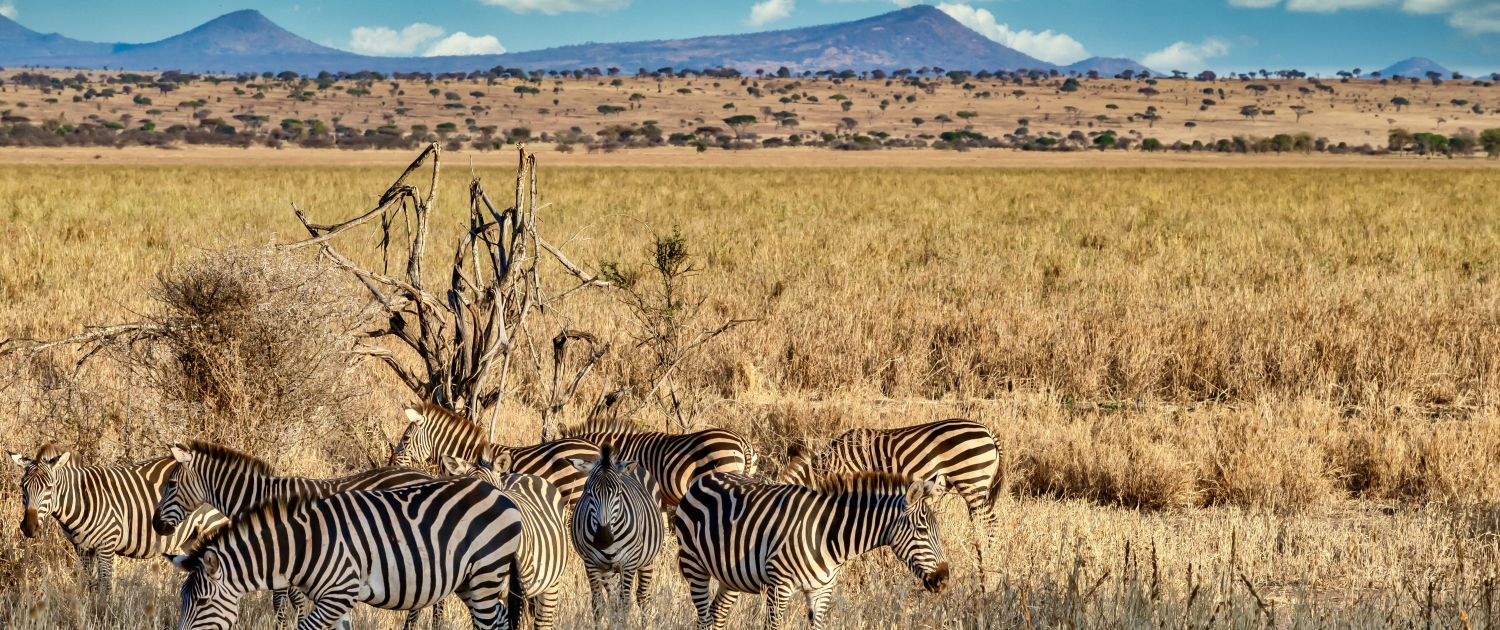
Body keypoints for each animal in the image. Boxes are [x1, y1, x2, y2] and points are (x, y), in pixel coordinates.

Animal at [7, 444, 224, 598]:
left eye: (49, 488)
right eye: (22, 486)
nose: (29, 527)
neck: (81, 500)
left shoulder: (106, 544)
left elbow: (106, 586)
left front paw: (105, 614)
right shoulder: (82, 547)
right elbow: (92, 585)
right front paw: (93, 611)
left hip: (213, 527)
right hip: (192, 539)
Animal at [170, 476, 523, 630]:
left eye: (202, 602)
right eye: (183, 602)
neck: (304, 546)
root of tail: (497, 491)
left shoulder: (340, 593)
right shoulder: (332, 601)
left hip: (487, 574)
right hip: (470, 582)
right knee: (499, 618)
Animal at [568, 444, 664, 621]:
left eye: (619, 493)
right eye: (588, 492)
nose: (603, 539)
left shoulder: (629, 563)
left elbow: (625, 604)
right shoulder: (591, 563)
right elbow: (599, 605)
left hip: (646, 560)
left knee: (642, 597)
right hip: (608, 569)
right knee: (614, 602)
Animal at [674, 471, 950, 630]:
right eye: (922, 531)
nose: (944, 579)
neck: (828, 536)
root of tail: (704, 478)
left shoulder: (822, 589)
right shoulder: (779, 585)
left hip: (730, 576)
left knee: (716, 615)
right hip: (695, 565)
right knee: (704, 617)